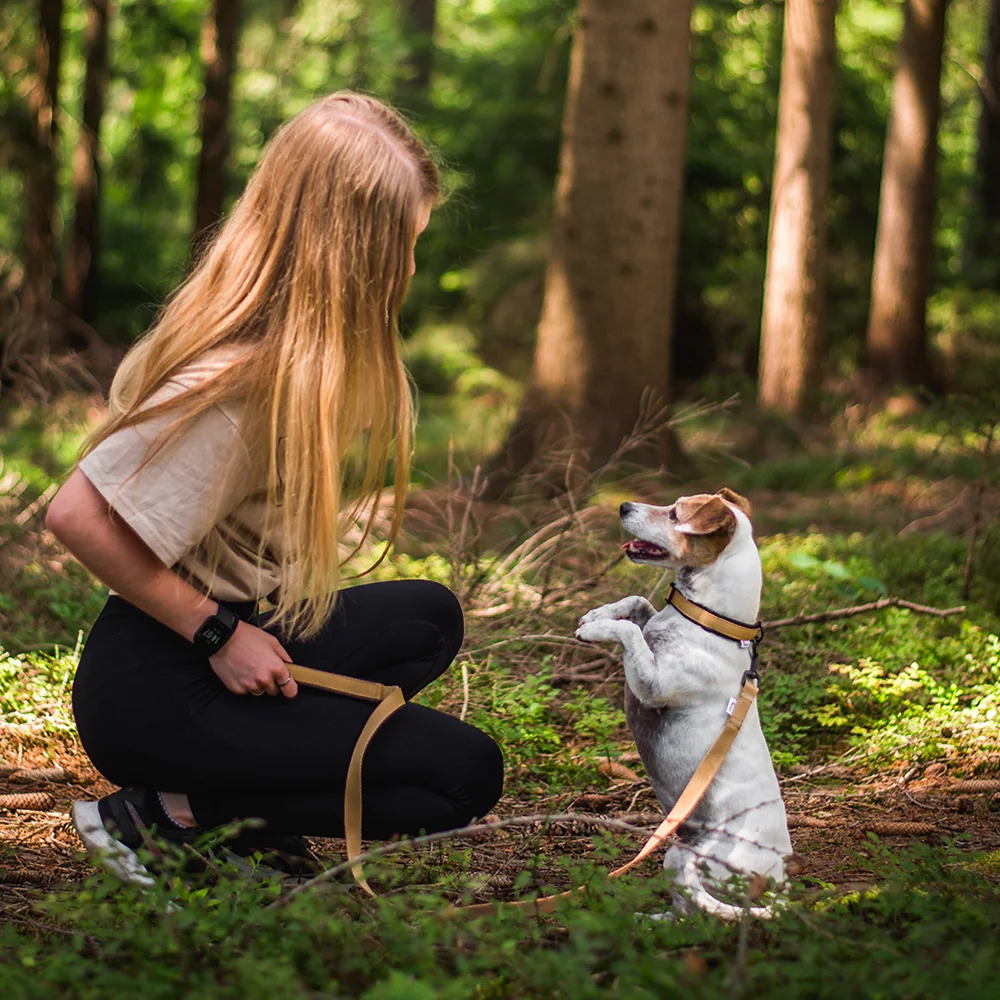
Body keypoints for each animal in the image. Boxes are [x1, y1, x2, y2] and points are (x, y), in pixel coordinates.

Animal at [576, 488, 792, 916]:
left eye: (675, 515)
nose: (623, 505)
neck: (708, 623)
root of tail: (777, 880)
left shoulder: (653, 685)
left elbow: (629, 631)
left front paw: (597, 629)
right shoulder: (650, 622)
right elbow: (637, 602)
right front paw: (598, 612)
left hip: (685, 858)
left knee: (701, 909)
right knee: (686, 914)